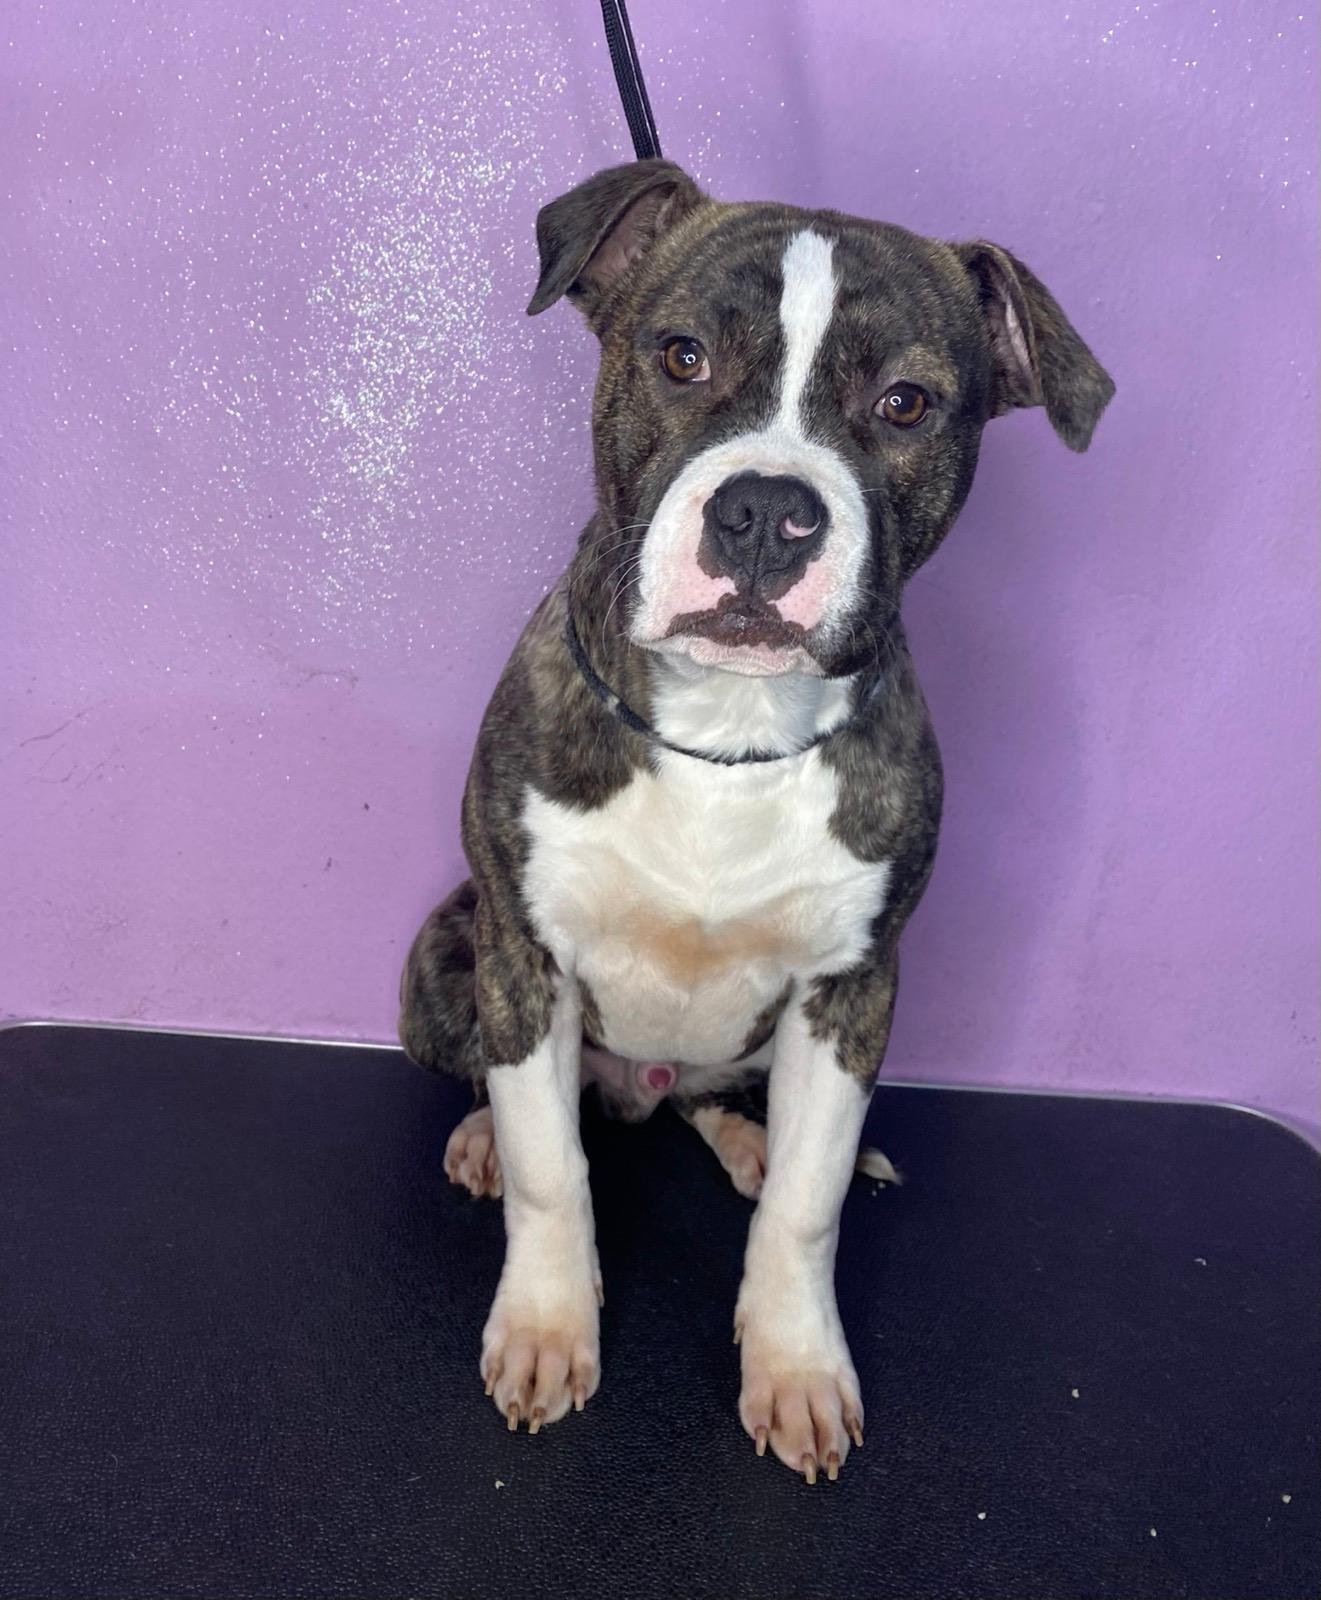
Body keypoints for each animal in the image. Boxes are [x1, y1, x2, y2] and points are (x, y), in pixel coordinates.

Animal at [399, 158, 1113, 1482]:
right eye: (679, 354)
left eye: (904, 402)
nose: (768, 511)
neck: (728, 727)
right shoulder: (526, 955)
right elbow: (551, 1169)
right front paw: (547, 1325)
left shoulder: (853, 988)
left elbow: (807, 1208)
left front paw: (794, 1366)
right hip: (441, 954)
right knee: (514, 1085)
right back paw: (480, 1134)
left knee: (717, 1103)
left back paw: (749, 1138)